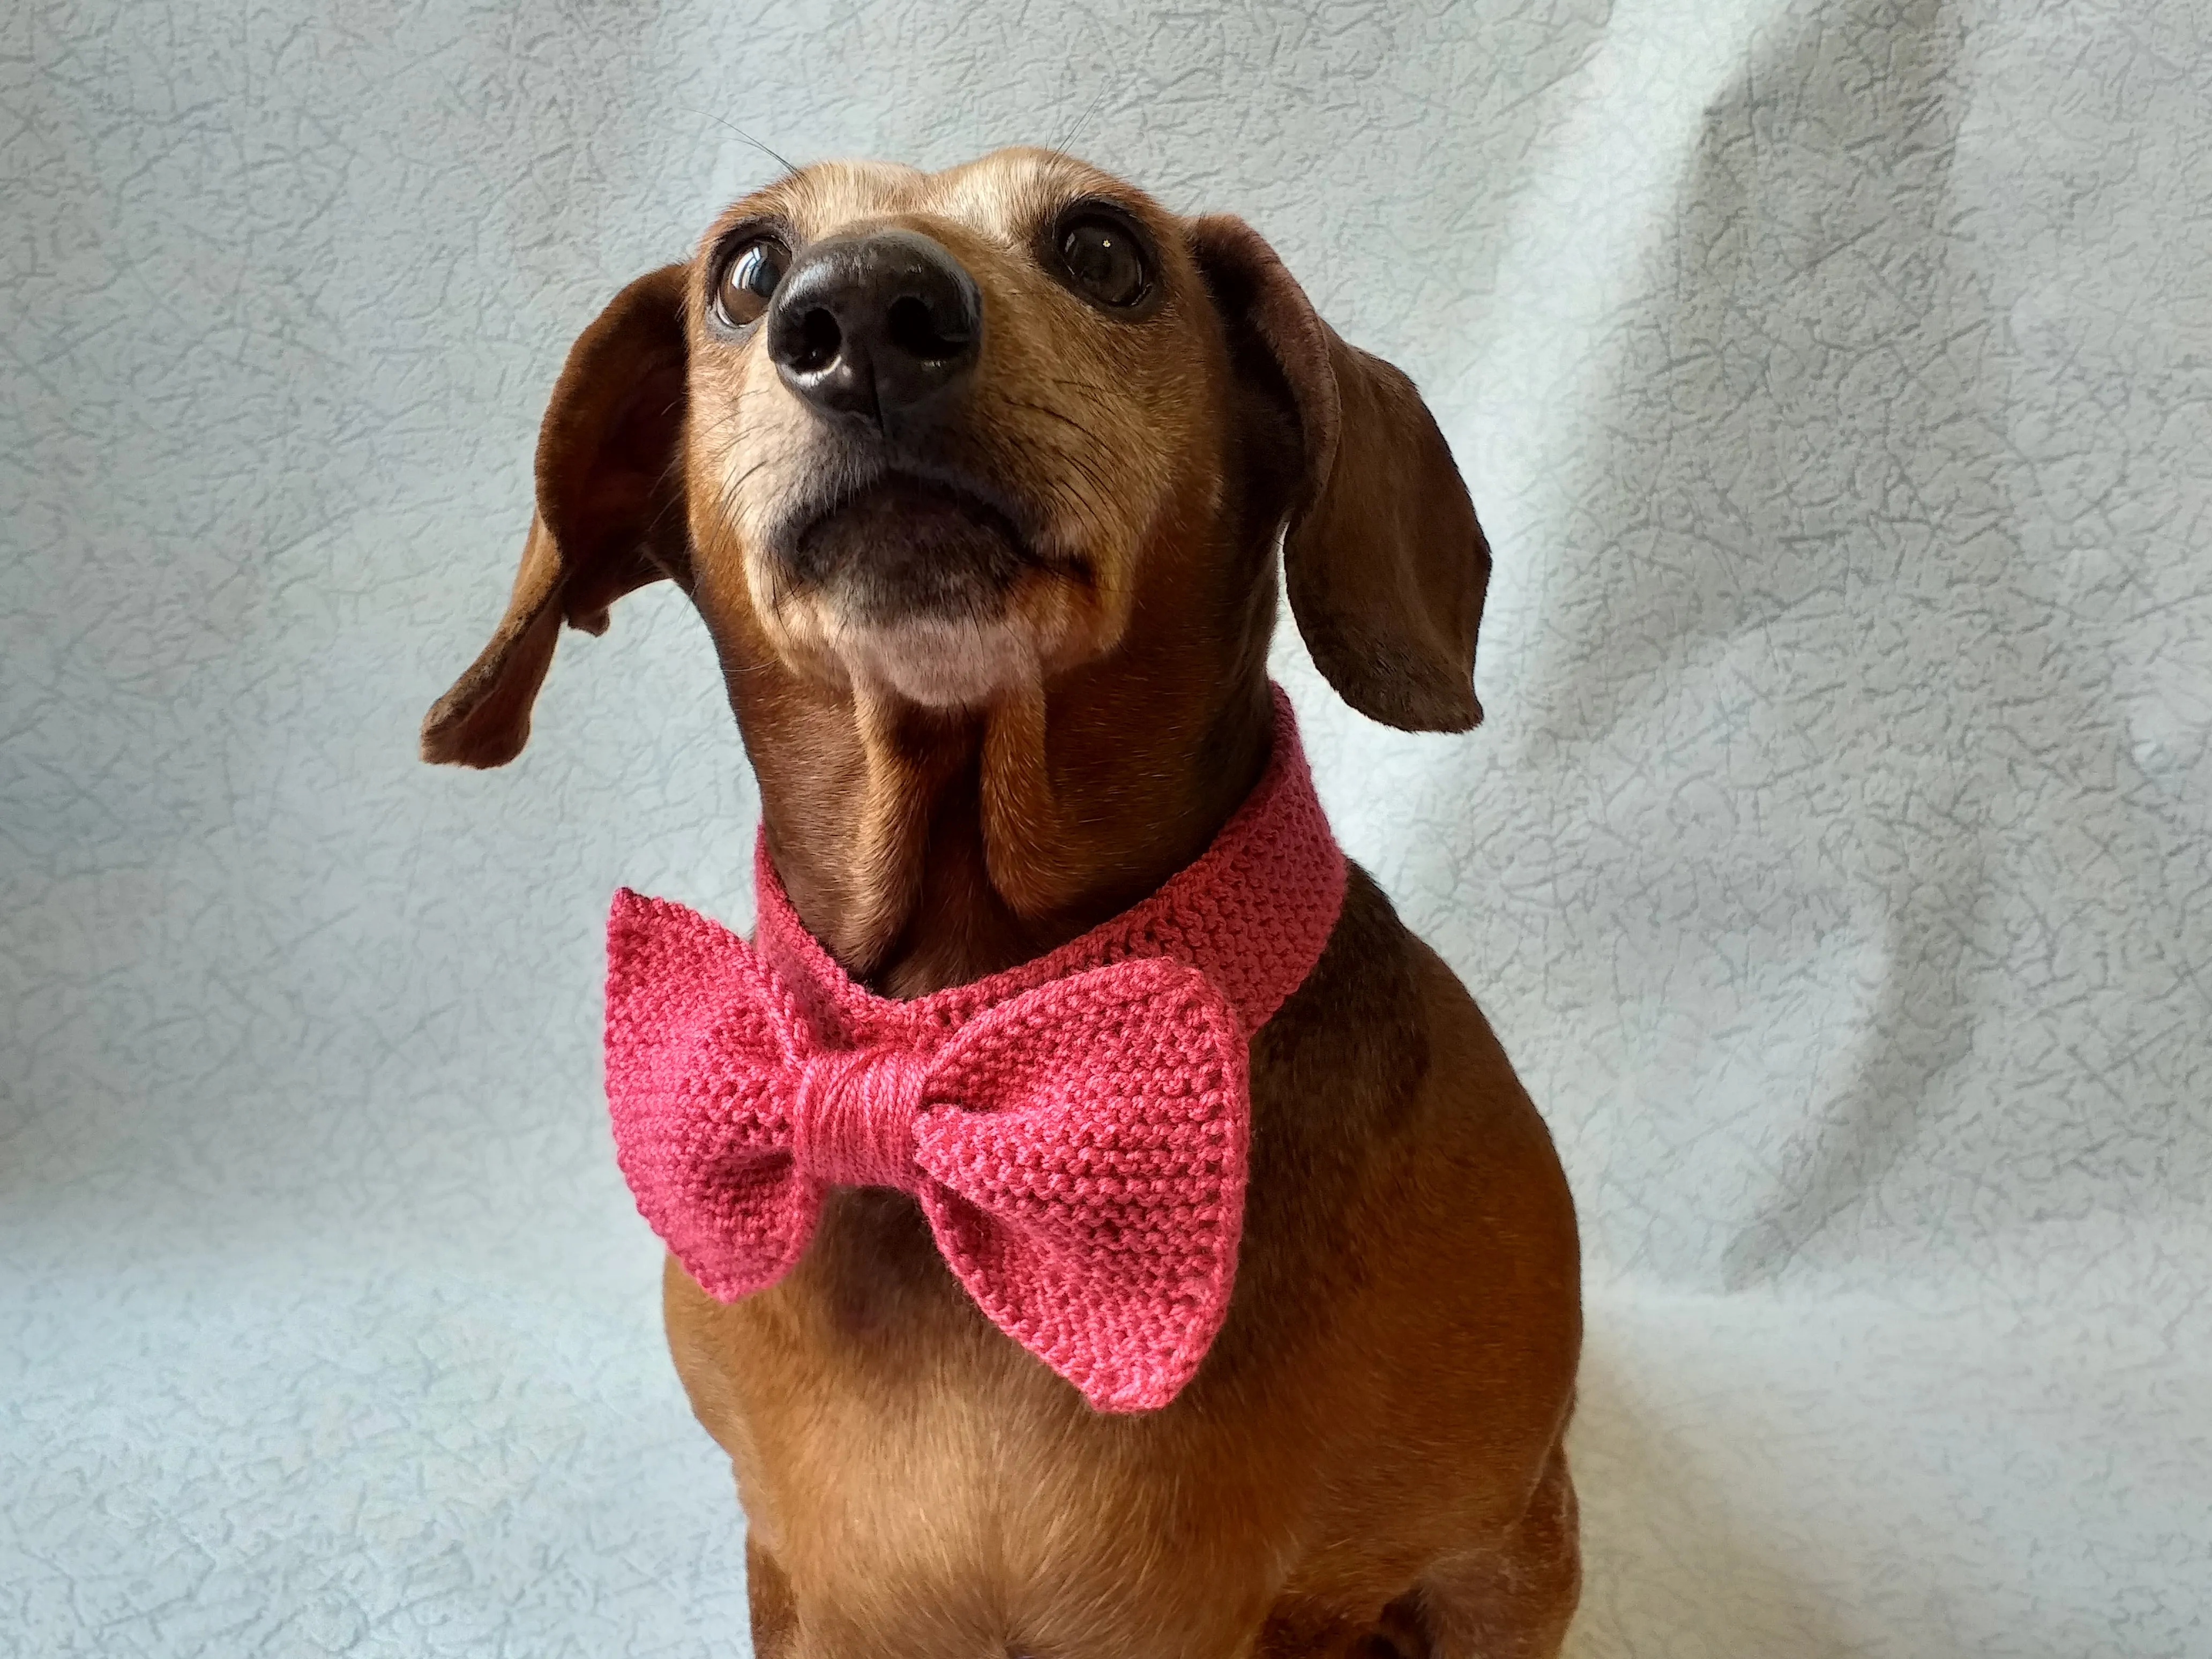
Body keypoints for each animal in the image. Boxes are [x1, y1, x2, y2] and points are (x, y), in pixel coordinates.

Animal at [422, 146, 1583, 1659]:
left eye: (1103, 250)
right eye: (745, 268)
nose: (860, 310)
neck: (955, 1024)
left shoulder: (1500, 1555)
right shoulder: (796, 1580)